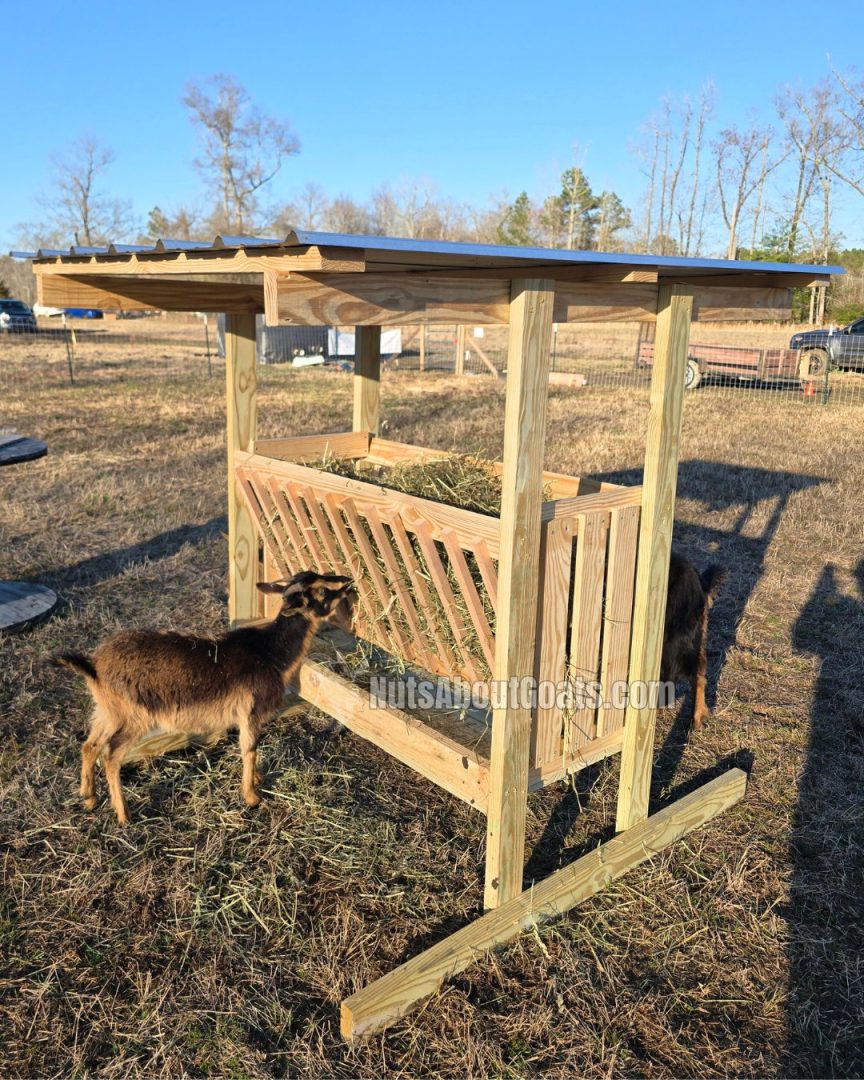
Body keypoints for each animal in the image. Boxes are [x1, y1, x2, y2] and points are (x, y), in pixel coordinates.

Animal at [54, 571, 354, 825]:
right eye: (322, 590)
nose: (347, 580)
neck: (270, 653)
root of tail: (93, 666)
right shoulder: (249, 711)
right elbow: (249, 748)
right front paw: (251, 796)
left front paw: (257, 779)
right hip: (135, 717)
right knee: (111, 755)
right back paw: (124, 815)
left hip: (107, 710)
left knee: (89, 745)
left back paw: (89, 798)